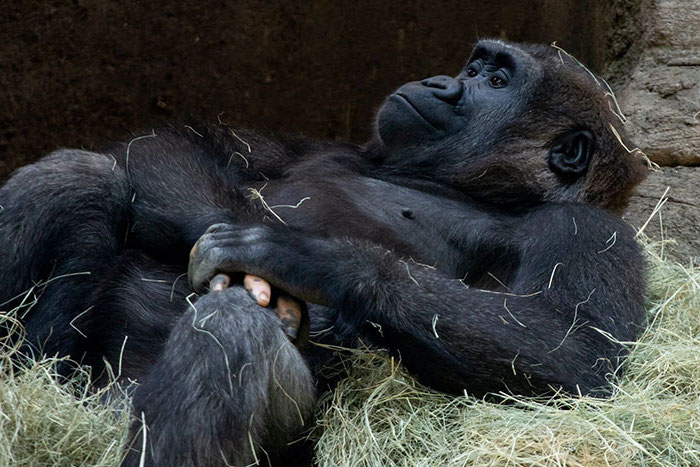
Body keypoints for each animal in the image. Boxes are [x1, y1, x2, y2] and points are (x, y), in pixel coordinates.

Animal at [0, 39, 644, 464]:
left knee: (228, 326)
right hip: (71, 382)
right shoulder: (322, 144)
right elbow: (167, 149)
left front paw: (304, 259)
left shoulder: (588, 228)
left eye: (498, 83)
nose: (441, 83)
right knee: (81, 178)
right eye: (475, 67)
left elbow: (575, 352)